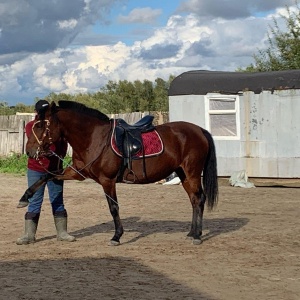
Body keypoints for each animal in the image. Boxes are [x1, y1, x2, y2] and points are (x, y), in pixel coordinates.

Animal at [22, 99, 217, 245]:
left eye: (40, 125)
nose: (29, 151)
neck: (94, 137)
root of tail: (199, 130)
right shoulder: (76, 173)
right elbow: (46, 176)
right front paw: (24, 198)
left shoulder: (107, 180)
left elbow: (113, 207)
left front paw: (116, 236)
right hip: (183, 174)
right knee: (193, 200)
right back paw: (192, 233)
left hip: (192, 173)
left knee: (199, 199)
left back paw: (197, 235)